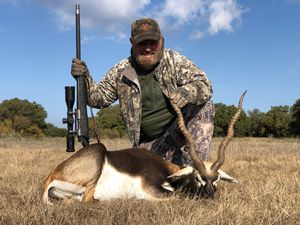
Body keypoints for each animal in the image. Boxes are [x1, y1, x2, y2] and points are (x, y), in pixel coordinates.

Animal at [43, 91, 247, 204]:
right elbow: (177, 196)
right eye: (197, 177)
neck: (169, 173)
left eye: (217, 178)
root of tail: (51, 176)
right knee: (86, 200)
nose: (211, 197)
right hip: (98, 153)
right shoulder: (149, 188)